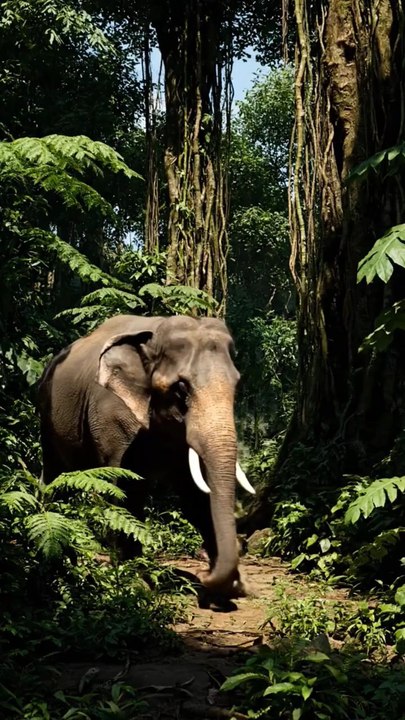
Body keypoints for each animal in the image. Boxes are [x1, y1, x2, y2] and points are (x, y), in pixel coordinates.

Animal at [38, 314, 255, 602]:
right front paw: (136, 585)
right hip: (47, 417)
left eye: (237, 384)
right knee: (54, 476)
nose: (205, 577)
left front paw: (233, 587)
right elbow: (123, 489)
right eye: (181, 388)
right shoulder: (112, 414)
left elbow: (195, 497)